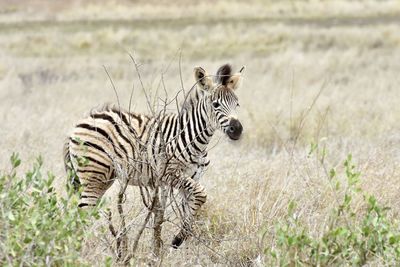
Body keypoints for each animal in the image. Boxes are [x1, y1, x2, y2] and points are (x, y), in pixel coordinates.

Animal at [63, 63, 244, 248]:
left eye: (237, 104)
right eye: (215, 104)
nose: (237, 130)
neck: (194, 139)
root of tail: (78, 124)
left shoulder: (192, 178)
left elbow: (191, 206)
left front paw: (181, 239)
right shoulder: (167, 173)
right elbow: (201, 194)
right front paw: (178, 239)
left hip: (102, 179)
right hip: (94, 176)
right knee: (82, 213)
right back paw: (82, 249)